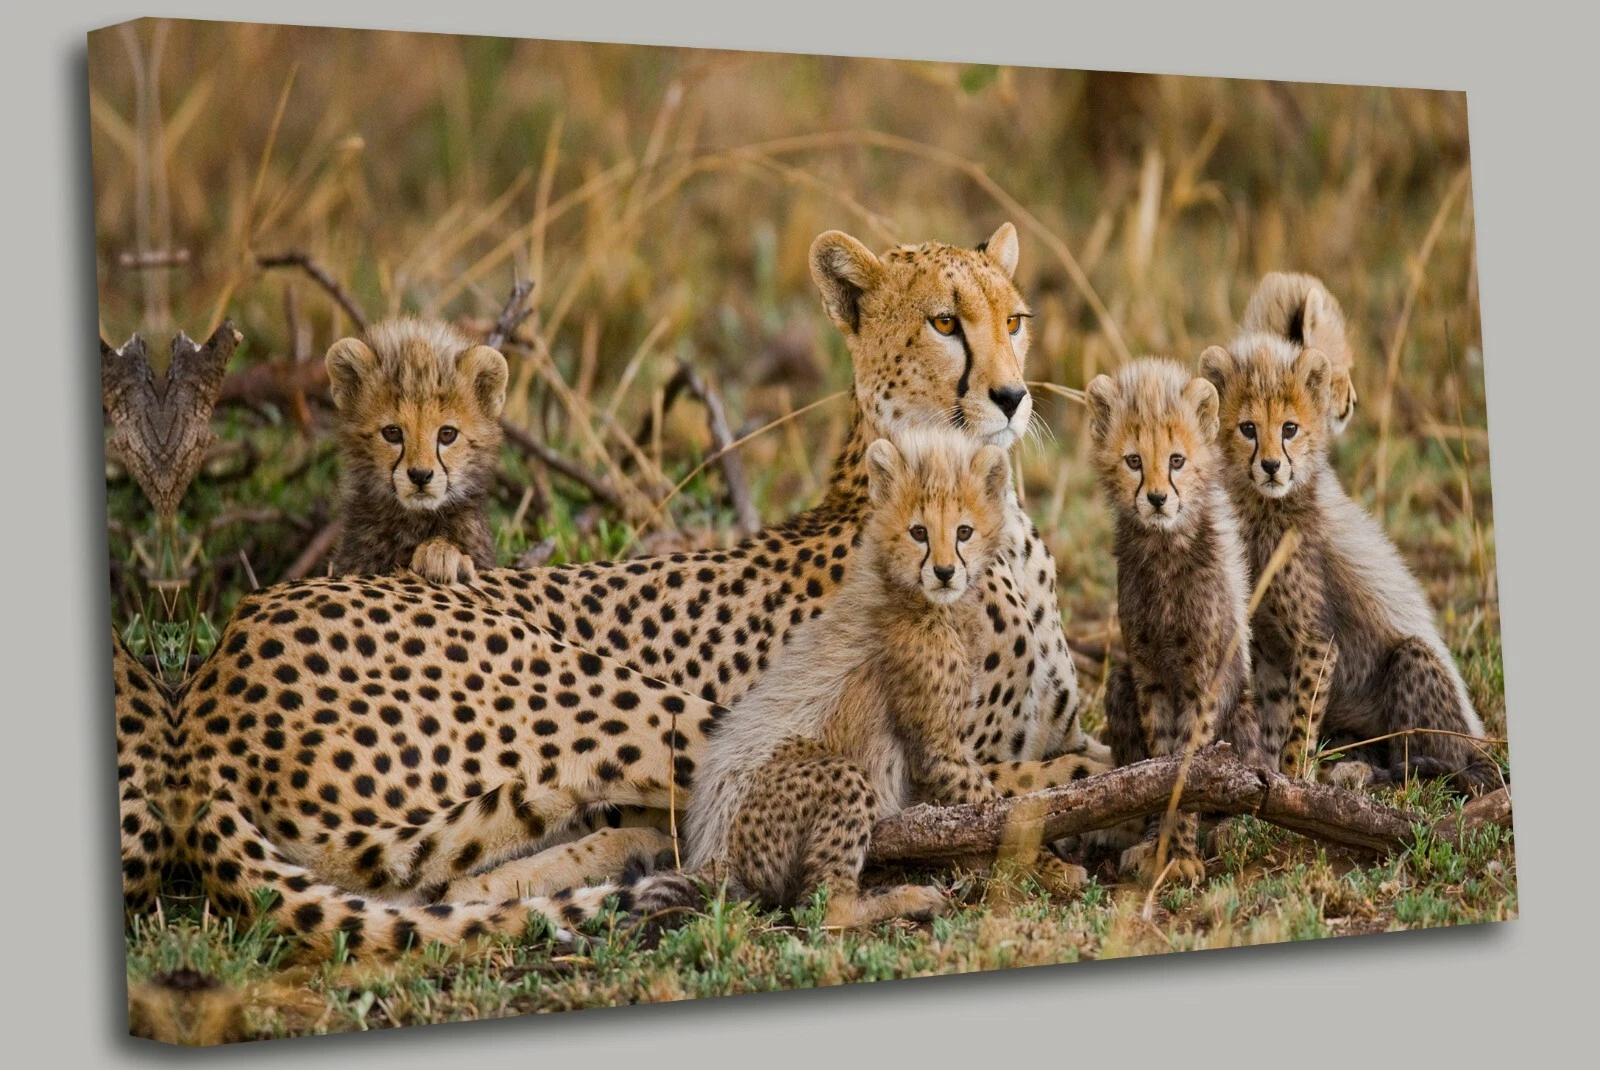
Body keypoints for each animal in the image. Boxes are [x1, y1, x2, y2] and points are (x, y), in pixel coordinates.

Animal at [684, 430, 1087, 928]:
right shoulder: (938, 750)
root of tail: (710, 852)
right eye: (919, 532)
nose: (945, 572)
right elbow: (995, 811)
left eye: (964, 532)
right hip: (834, 779)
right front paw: (1053, 867)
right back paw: (906, 899)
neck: (912, 596)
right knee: (824, 906)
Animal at [1085, 358, 1265, 883]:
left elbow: (1189, 771)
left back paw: (1230, 829)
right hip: (1119, 683)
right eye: (1133, 461)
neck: (1164, 550)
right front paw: (1155, 845)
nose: (1158, 499)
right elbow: (1158, 765)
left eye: (1177, 460)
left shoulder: (1203, 680)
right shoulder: (1149, 676)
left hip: (1242, 712)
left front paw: (1180, 853)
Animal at [1200, 332, 1496, 793]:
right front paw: (1270, 774)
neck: (1266, 510)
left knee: (1429, 767)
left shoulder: (1317, 643)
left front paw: (1293, 779)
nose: (1271, 466)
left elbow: (1300, 722)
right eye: (1248, 428)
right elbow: (1275, 717)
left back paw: (1371, 774)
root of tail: (1480, 745)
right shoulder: (1269, 645)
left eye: (1289, 428)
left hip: (1417, 671)